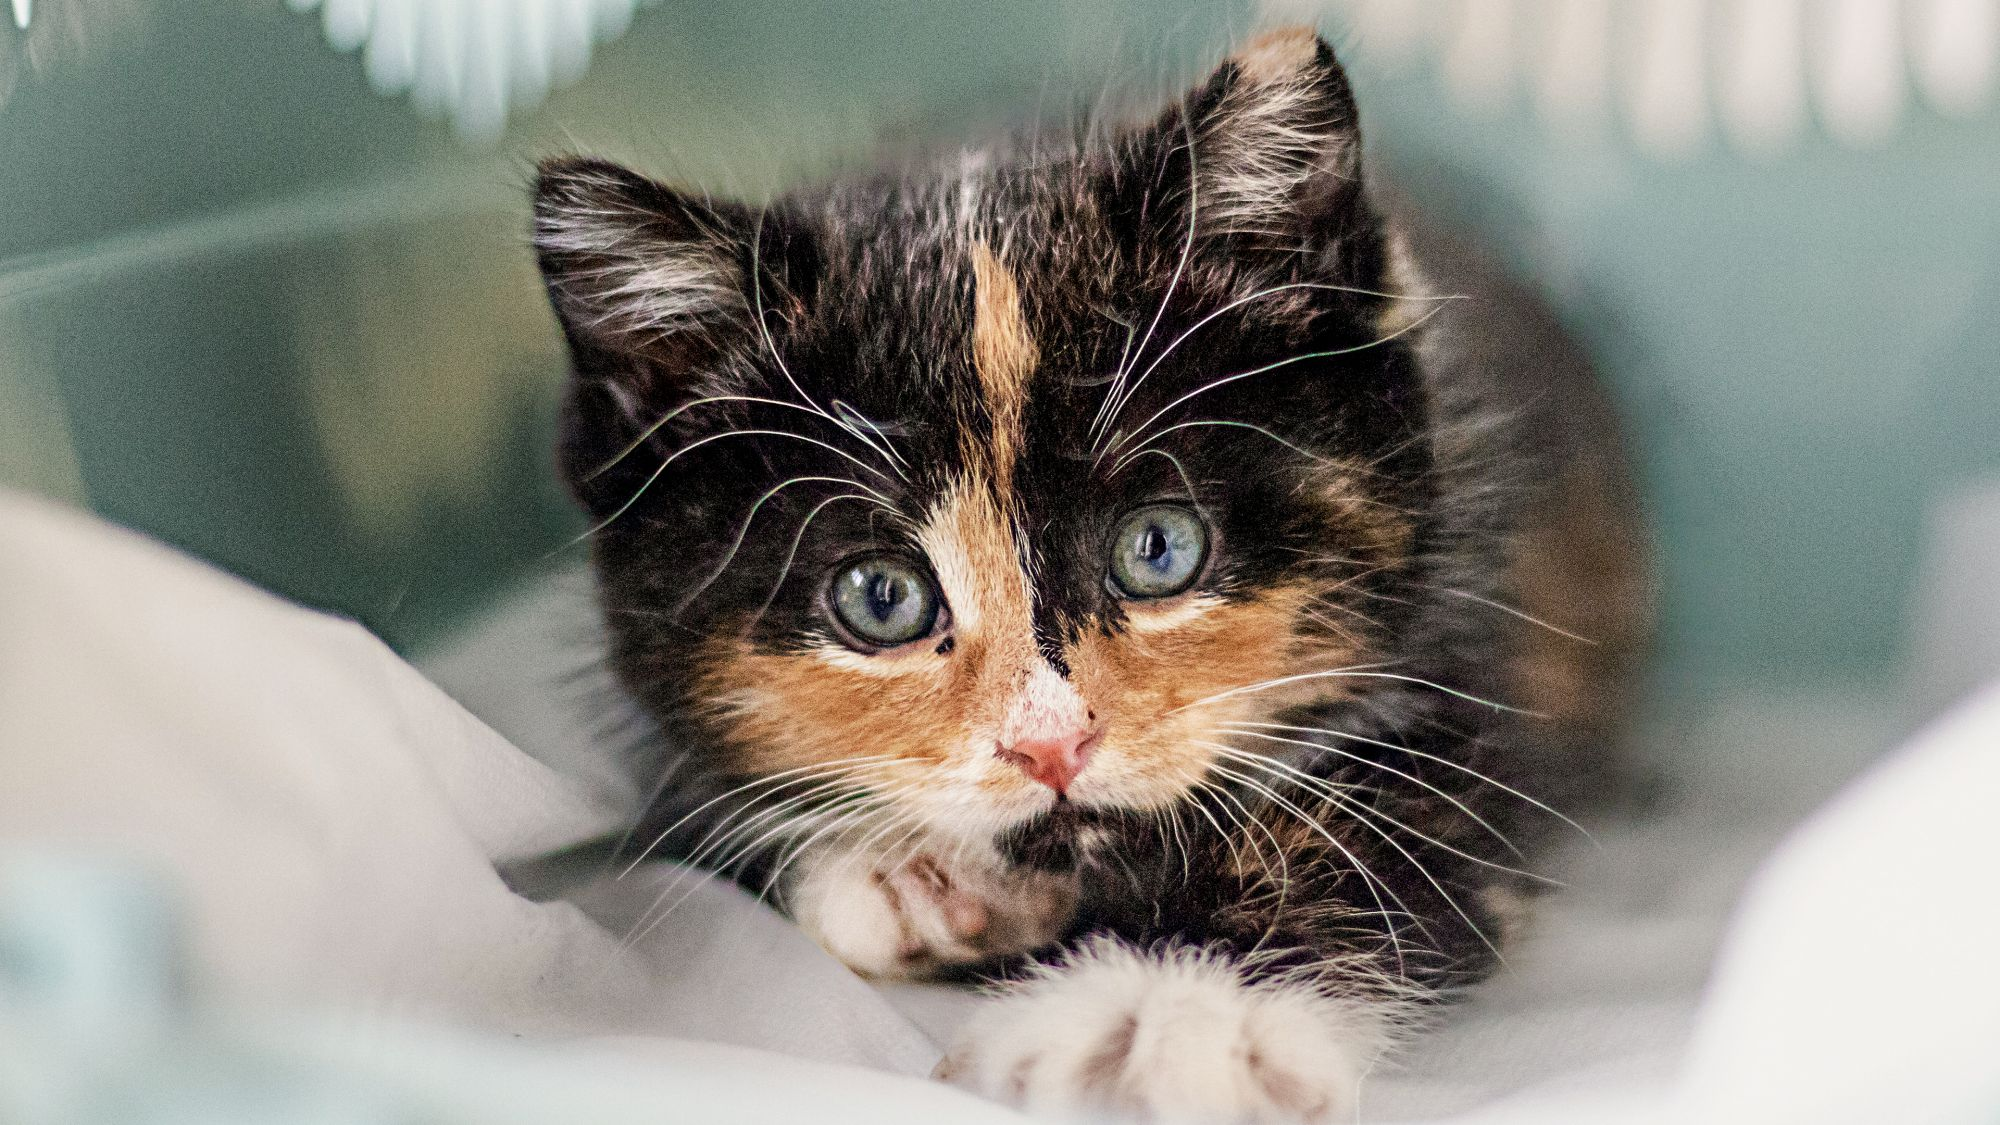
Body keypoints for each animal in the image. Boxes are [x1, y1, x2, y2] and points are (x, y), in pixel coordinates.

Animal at [528, 28, 1640, 1120]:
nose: (1050, 747)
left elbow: (1381, 829)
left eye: (1156, 548)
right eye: (880, 599)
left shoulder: (1466, 652)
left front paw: (1170, 1008)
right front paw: (902, 872)